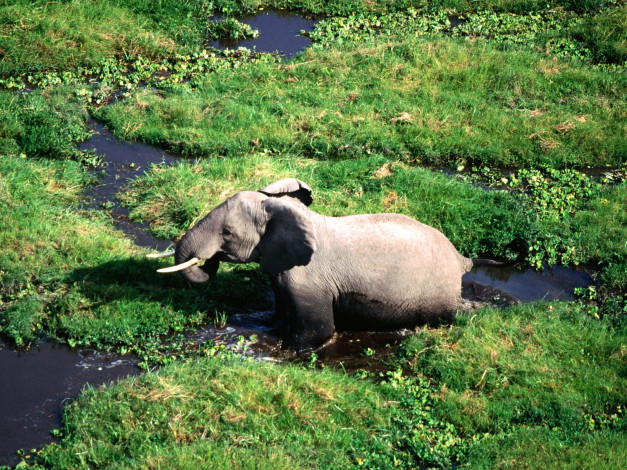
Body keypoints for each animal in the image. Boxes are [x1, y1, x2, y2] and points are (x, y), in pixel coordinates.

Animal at [152, 179, 516, 352]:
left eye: (227, 233)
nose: (209, 259)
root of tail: (461, 258)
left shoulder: (308, 280)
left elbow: (318, 332)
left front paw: (288, 352)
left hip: (435, 296)